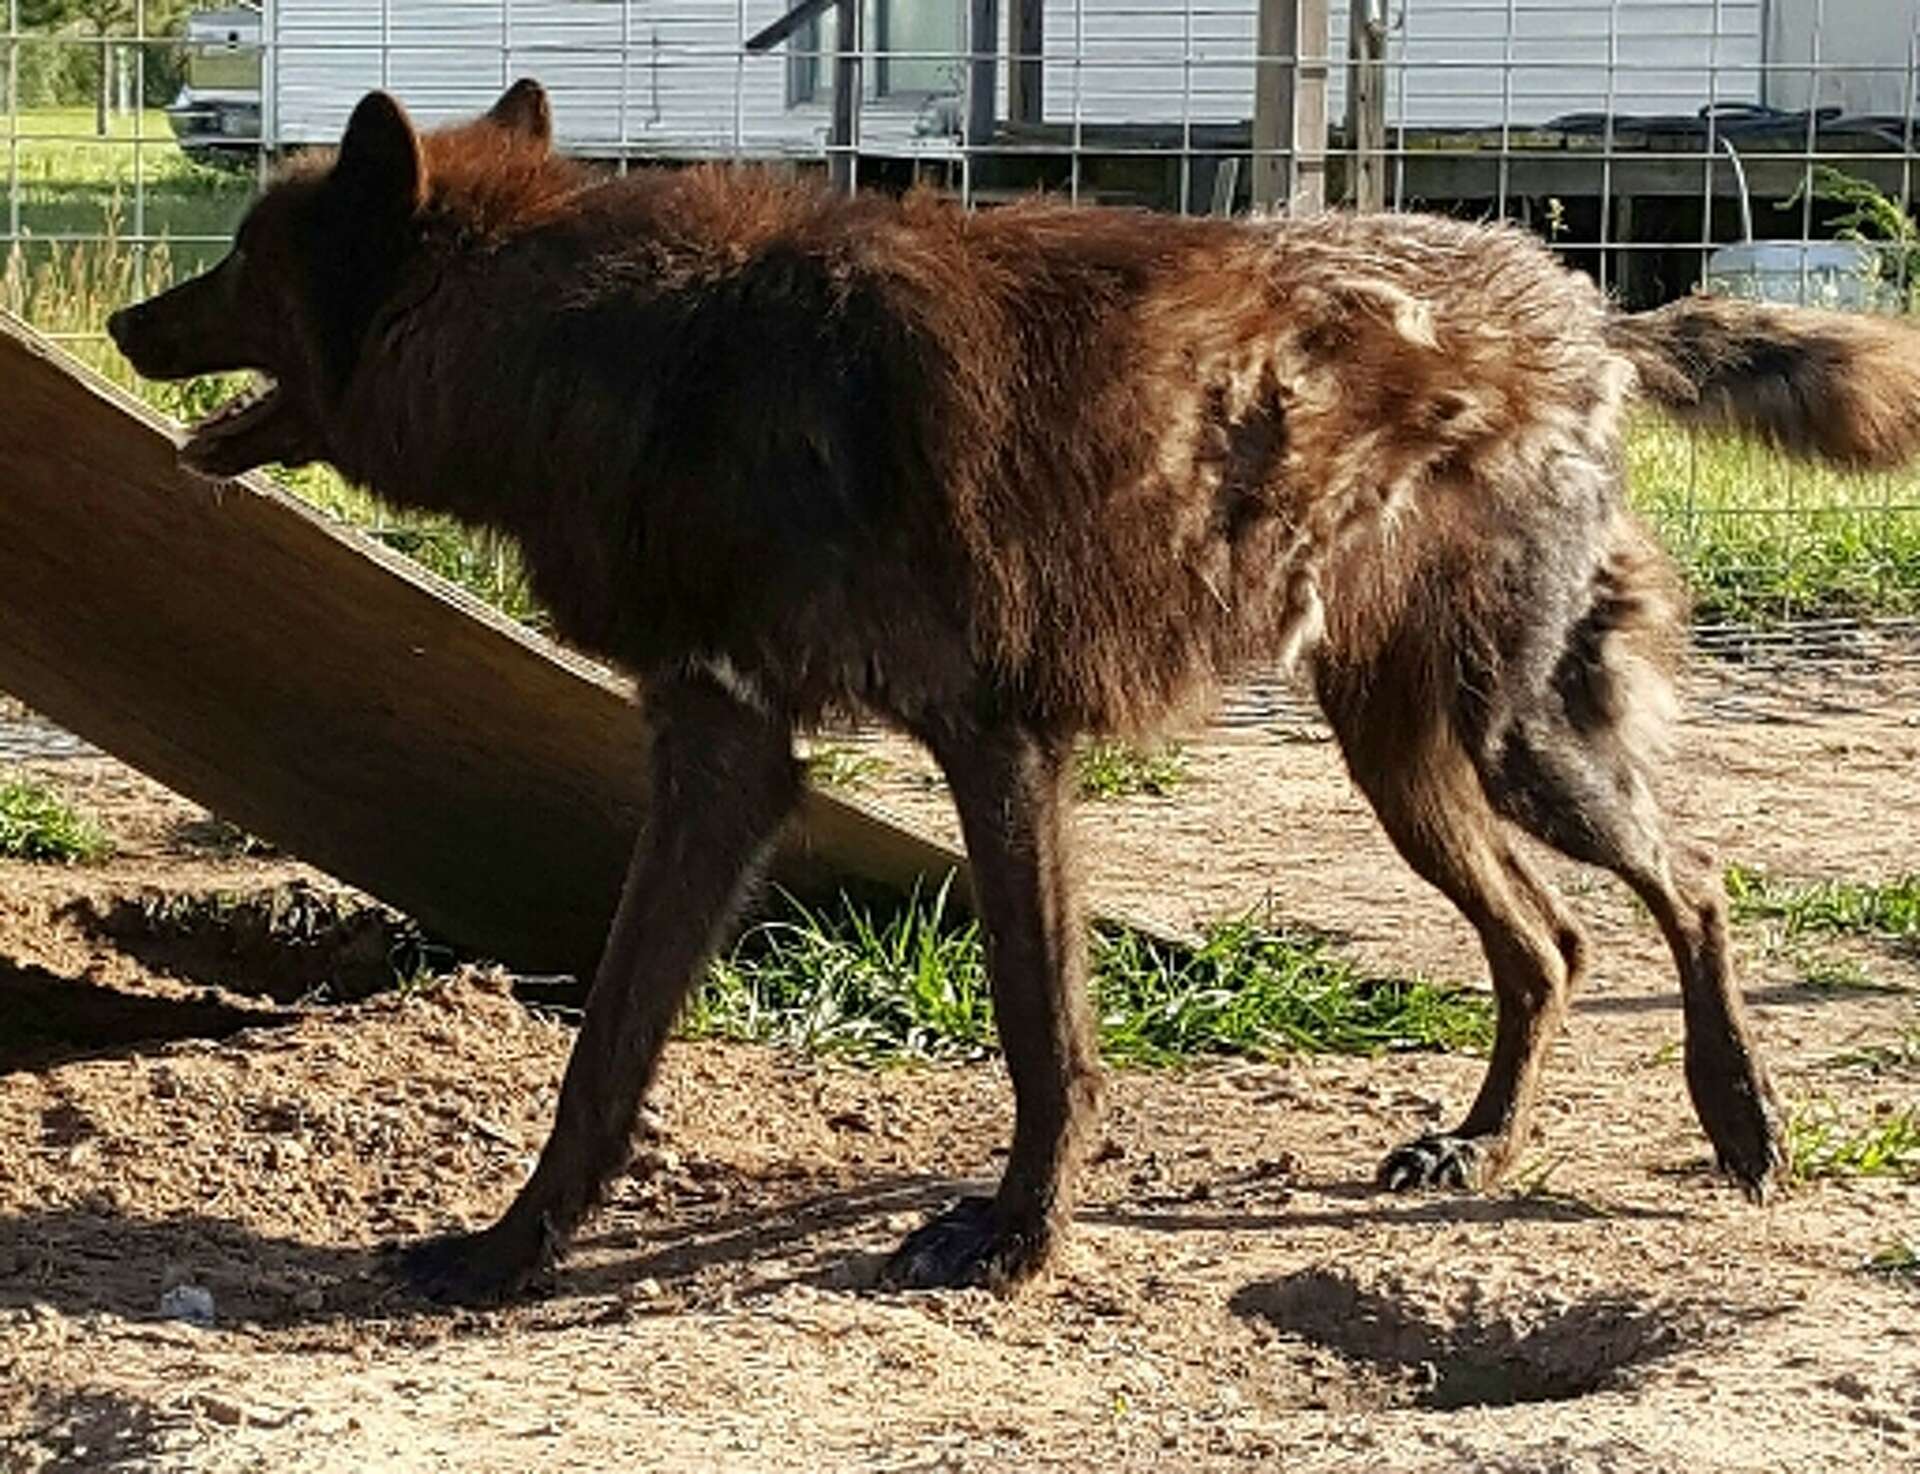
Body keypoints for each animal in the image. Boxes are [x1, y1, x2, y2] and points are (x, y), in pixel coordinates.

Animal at [108, 80, 1920, 1301]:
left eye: (245, 262)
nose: (125, 319)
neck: (650, 353)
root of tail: (1590, 304)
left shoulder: (995, 748)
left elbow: (1041, 1029)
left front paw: (1021, 1234)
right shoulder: (723, 758)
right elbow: (607, 1046)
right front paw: (510, 1248)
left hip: (1504, 738)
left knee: (1692, 880)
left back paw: (1739, 1119)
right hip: (1407, 763)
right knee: (1550, 943)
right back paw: (1471, 1145)